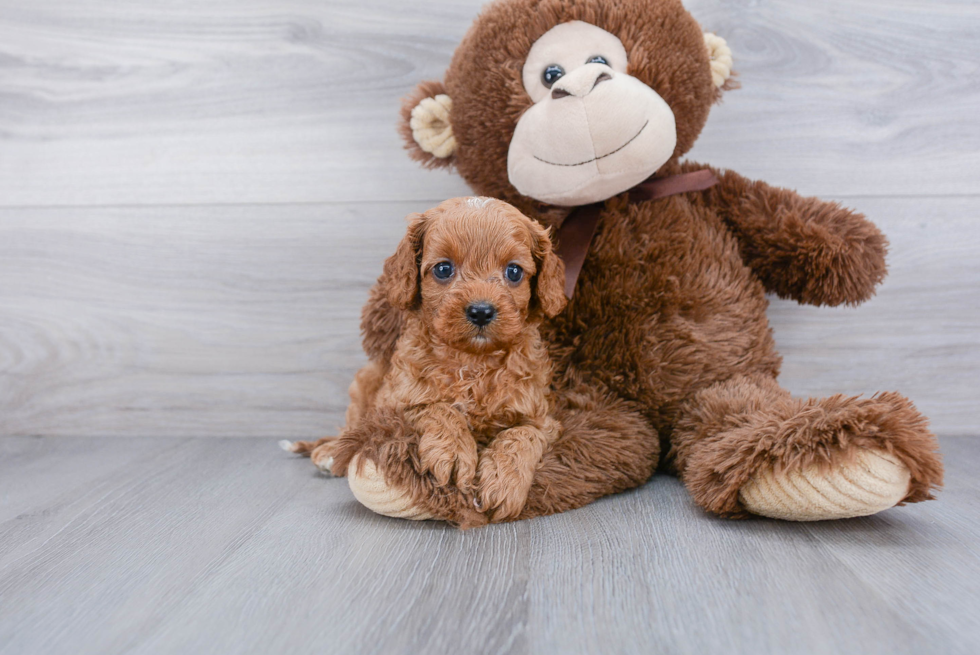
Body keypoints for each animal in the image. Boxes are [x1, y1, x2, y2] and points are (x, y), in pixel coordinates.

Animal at [284, 197, 568, 520]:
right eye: (443, 269)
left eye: (514, 272)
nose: (481, 311)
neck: (472, 360)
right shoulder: (394, 403)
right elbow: (435, 407)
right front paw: (454, 452)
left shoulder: (543, 418)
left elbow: (522, 434)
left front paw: (504, 481)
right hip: (365, 383)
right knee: (350, 429)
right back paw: (330, 451)